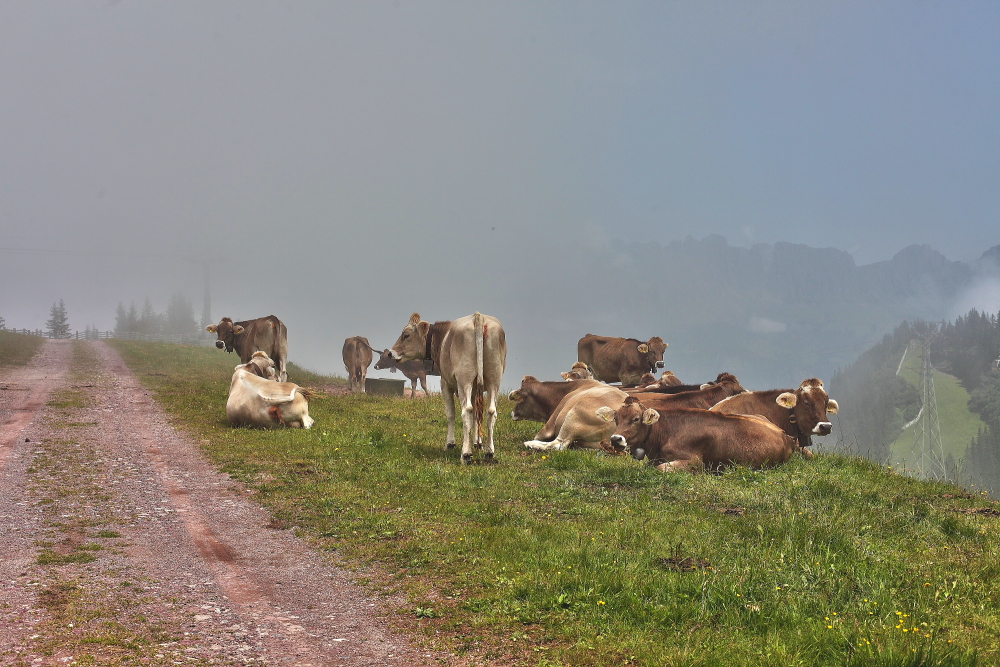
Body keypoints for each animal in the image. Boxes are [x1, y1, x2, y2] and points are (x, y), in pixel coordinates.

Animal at [386, 314, 504, 464]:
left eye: (406, 335)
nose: (390, 353)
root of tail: (478, 316)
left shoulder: (445, 383)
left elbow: (450, 414)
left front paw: (450, 443)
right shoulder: (474, 389)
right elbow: (477, 414)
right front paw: (477, 443)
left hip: (464, 379)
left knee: (467, 411)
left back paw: (466, 454)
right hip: (494, 379)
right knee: (490, 411)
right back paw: (489, 452)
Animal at [596, 400, 800, 472]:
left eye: (636, 419)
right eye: (616, 418)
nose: (615, 439)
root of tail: (786, 436)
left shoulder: (694, 461)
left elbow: (661, 469)